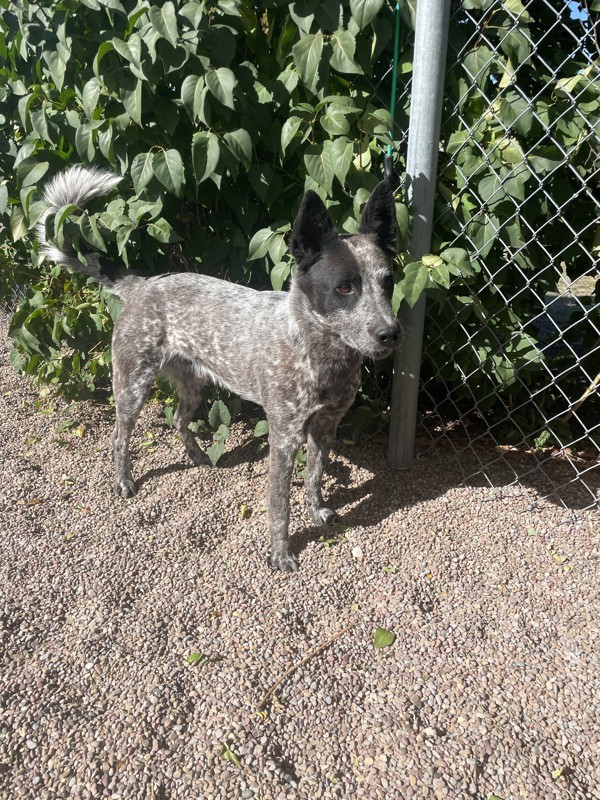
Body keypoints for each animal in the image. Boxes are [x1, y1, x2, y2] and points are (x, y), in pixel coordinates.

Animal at [39, 167, 400, 568]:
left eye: (388, 282)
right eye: (344, 287)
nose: (391, 333)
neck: (318, 352)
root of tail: (141, 284)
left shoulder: (326, 425)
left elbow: (316, 475)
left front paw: (316, 509)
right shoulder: (285, 436)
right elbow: (279, 506)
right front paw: (280, 553)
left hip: (193, 384)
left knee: (179, 419)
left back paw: (198, 456)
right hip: (132, 386)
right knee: (119, 436)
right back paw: (123, 481)